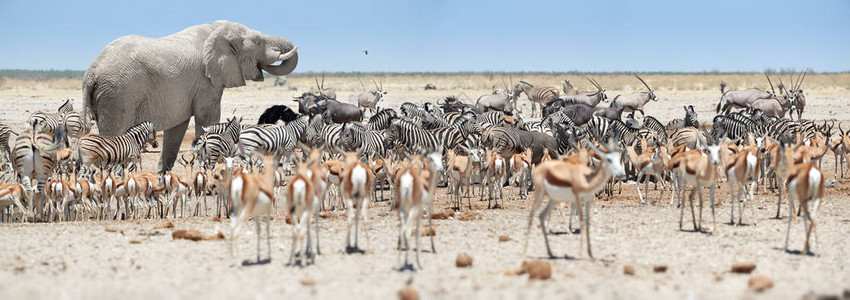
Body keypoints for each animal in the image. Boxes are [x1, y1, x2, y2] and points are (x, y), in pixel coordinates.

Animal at [80, 20, 298, 171]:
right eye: (259, 42)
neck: (216, 29)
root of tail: (90, 73)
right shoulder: (205, 82)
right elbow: (207, 119)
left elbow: (177, 128)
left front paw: (163, 179)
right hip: (116, 96)